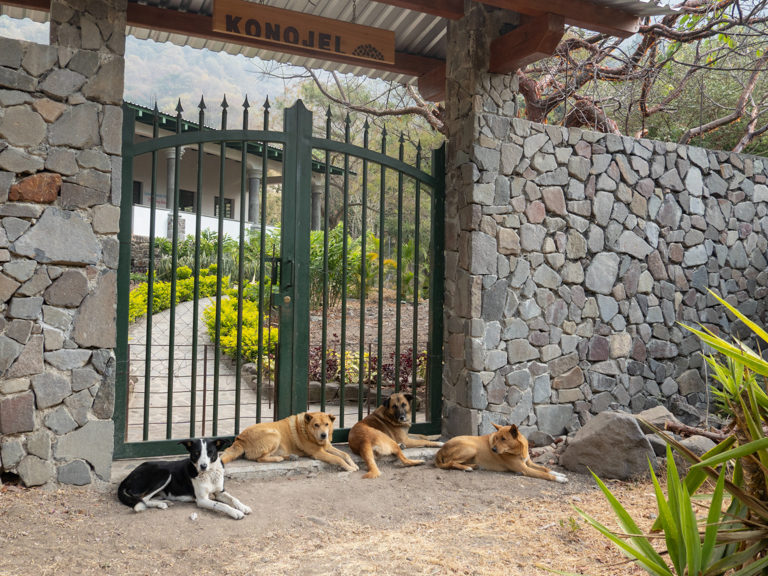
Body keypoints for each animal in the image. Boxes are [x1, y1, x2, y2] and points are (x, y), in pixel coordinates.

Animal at [117, 438, 250, 520]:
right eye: (196, 453)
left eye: (210, 452)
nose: (203, 466)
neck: (209, 474)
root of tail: (128, 477)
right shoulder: (202, 500)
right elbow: (221, 505)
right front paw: (236, 513)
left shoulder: (219, 492)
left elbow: (233, 499)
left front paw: (243, 507)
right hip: (165, 473)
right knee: (143, 499)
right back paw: (161, 504)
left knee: (146, 498)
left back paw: (164, 502)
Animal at [219, 410, 356, 472]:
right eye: (316, 425)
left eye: (327, 424)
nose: (324, 435)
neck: (306, 430)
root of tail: (239, 439)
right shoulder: (319, 453)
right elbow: (338, 458)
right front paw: (349, 468)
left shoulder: (327, 447)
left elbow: (345, 454)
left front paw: (353, 464)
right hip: (275, 434)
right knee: (260, 459)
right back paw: (279, 458)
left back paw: (290, 456)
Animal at [436, 424, 568, 482]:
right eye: (496, 438)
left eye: (503, 439)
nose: (493, 450)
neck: (519, 450)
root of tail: (440, 450)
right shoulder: (525, 469)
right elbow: (544, 474)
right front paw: (559, 479)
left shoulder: (528, 463)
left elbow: (545, 469)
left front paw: (559, 473)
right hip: (471, 448)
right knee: (451, 462)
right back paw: (467, 468)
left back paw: (472, 465)